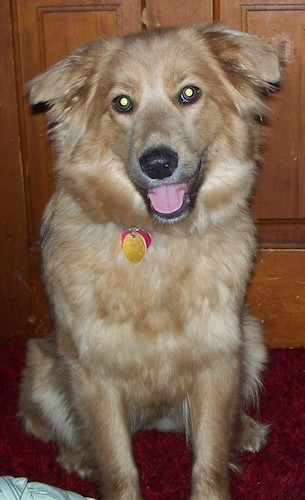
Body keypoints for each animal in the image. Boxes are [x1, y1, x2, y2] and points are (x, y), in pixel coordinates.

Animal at [19, 24, 280, 500]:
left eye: (189, 93)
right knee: (65, 433)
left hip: (250, 339)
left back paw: (245, 431)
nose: (158, 162)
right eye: (122, 103)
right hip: (44, 372)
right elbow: (119, 467)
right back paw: (78, 459)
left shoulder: (218, 360)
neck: (160, 241)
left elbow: (209, 461)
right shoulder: (95, 375)